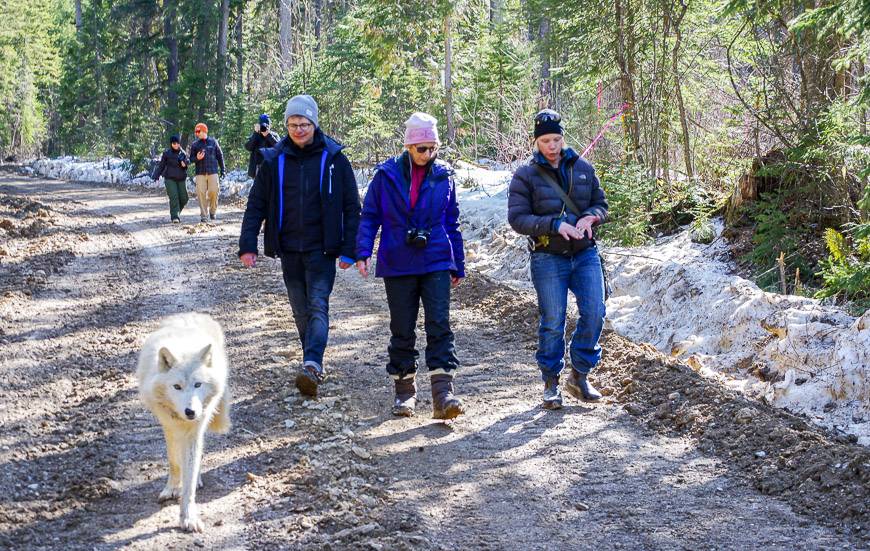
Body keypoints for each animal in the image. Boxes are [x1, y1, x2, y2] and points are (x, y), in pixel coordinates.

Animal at [136, 312, 232, 532]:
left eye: (198, 384)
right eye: (177, 387)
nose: (191, 412)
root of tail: (190, 315)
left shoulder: (194, 431)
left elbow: (189, 478)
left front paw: (188, 517)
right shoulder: (168, 426)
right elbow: (174, 462)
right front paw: (171, 489)